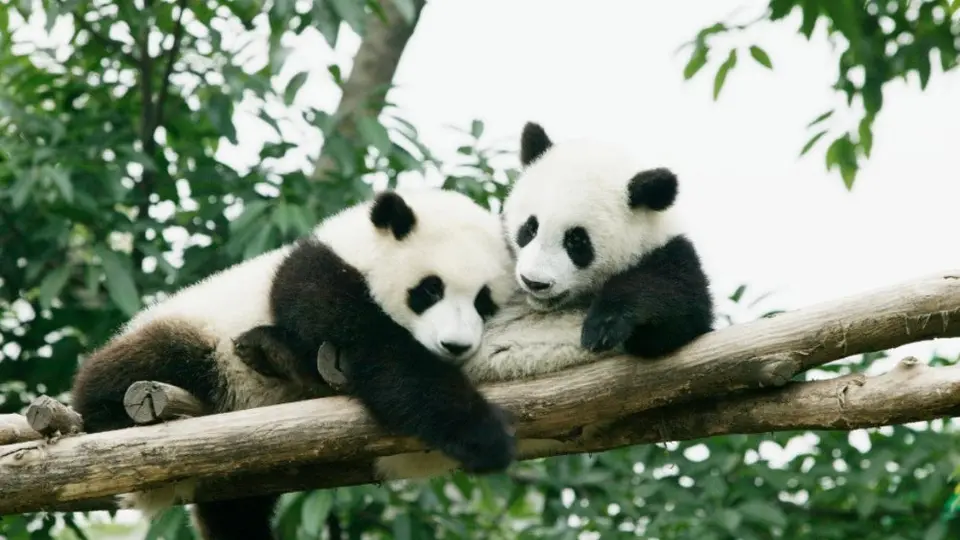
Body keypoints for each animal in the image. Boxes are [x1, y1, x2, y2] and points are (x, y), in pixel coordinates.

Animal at [69, 187, 519, 540]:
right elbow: (383, 357)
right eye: (429, 290)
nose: (455, 345)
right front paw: (484, 435)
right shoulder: (315, 278)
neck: (357, 248)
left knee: (234, 511)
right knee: (135, 367)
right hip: (194, 338)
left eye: (484, 301)